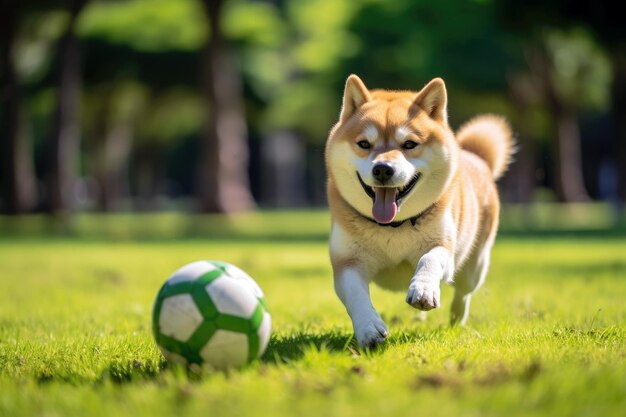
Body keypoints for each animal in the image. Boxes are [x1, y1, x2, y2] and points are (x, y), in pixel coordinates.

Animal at [322, 75, 512, 348]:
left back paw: (456, 318)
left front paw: (423, 289)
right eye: (364, 144)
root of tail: (475, 157)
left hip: (474, 267)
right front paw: (369, 328)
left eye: (409, 144)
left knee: (463, 294)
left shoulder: (443, 247)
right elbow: (356, 295)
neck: (393, 227)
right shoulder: (347, 262)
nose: (383, 169)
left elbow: (429, 259)